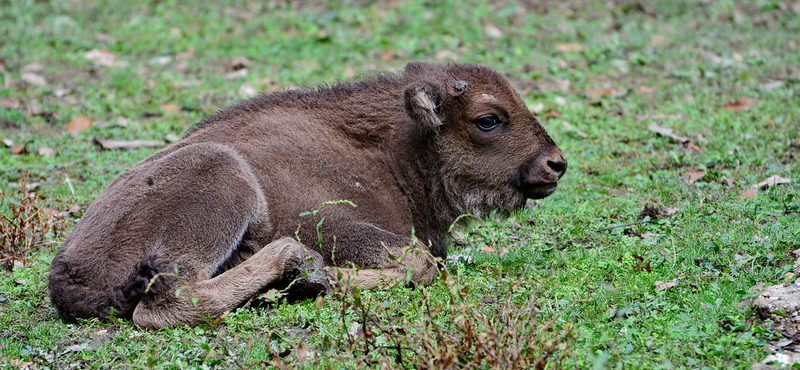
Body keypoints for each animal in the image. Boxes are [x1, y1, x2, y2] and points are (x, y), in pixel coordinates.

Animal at [47, 62, 564, 328]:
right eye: (488, 119)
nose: (555, 164)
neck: (389, 150)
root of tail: (66, 276)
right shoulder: (333, 225)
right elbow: (419, 263)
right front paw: (319, 277)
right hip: (220, 180)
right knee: (166, 304)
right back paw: (298, 270)